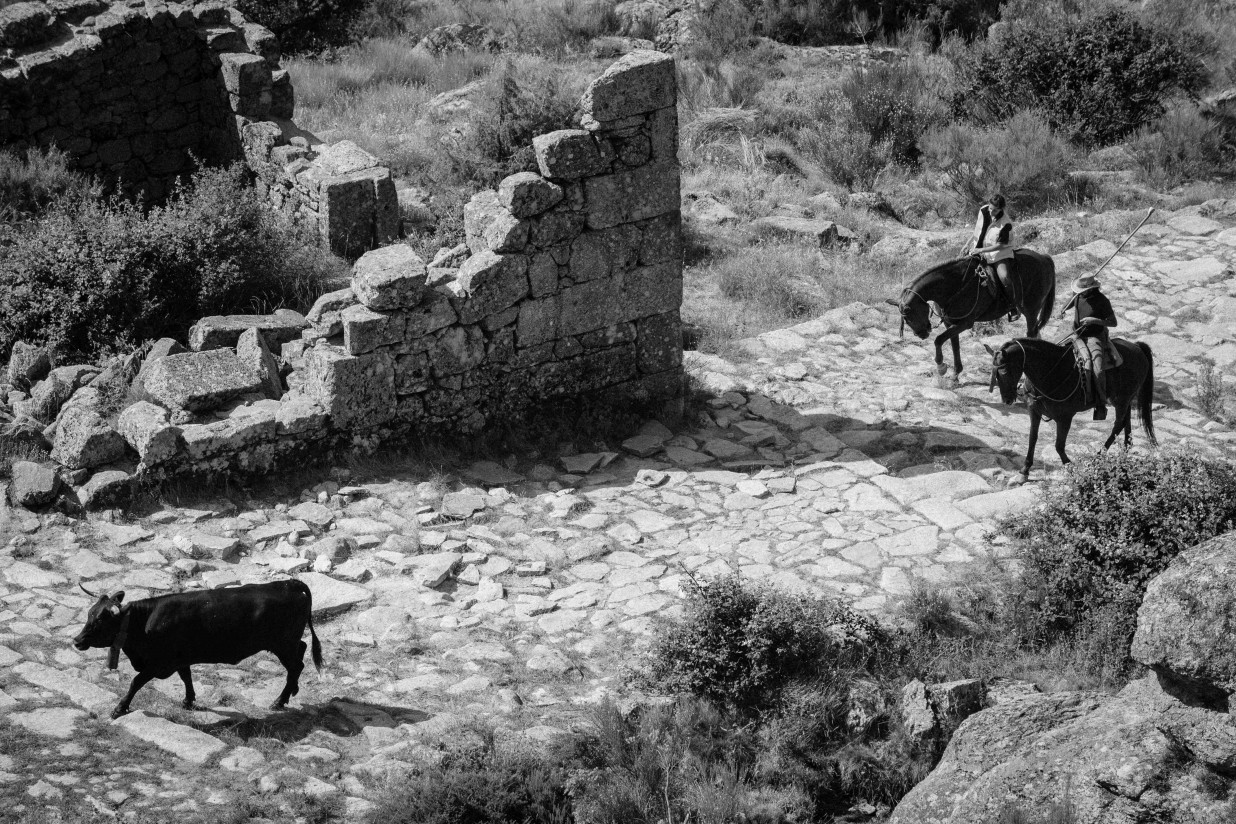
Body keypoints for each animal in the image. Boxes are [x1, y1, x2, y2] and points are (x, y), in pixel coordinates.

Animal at [71, 578, 323, 716]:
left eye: (99, 620)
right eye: (89, 614)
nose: (77, 640)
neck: (143, 623)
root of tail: (289, 583)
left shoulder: (159, 664)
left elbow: (136, 682)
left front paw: (119, 708)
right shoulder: (180, 659)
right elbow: (187, 677)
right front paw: (188, 701)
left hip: (283, 644)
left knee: (297, 665)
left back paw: (280, 700)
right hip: (287, 643)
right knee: (301, 652)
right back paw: (291, 692)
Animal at [894, 252, 1058, 380]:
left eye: (910, 316)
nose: (922, 334)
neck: (955, 286)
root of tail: (1043, 257)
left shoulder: (965, 323)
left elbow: (939, 340)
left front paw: (941, 367)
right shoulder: (950, 323)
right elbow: (954, 345)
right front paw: (955, 375)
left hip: (1031, 310)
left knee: (1031, 333)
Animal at [983, 338, 1156, 484]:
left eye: (1004, 371)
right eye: (994, 373)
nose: (1007, 399)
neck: (1051, 371)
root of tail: (1136, 347)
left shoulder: (1065, 418)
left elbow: (1059, 445)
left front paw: (1070, 467)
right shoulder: (1034, 412)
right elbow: (1032, 439)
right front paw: (1024, 472)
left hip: (1121, 400)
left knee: (1118, 425)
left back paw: (1097, 458)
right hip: (1124, 399)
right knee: (1126, 423)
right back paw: (1125, 451)